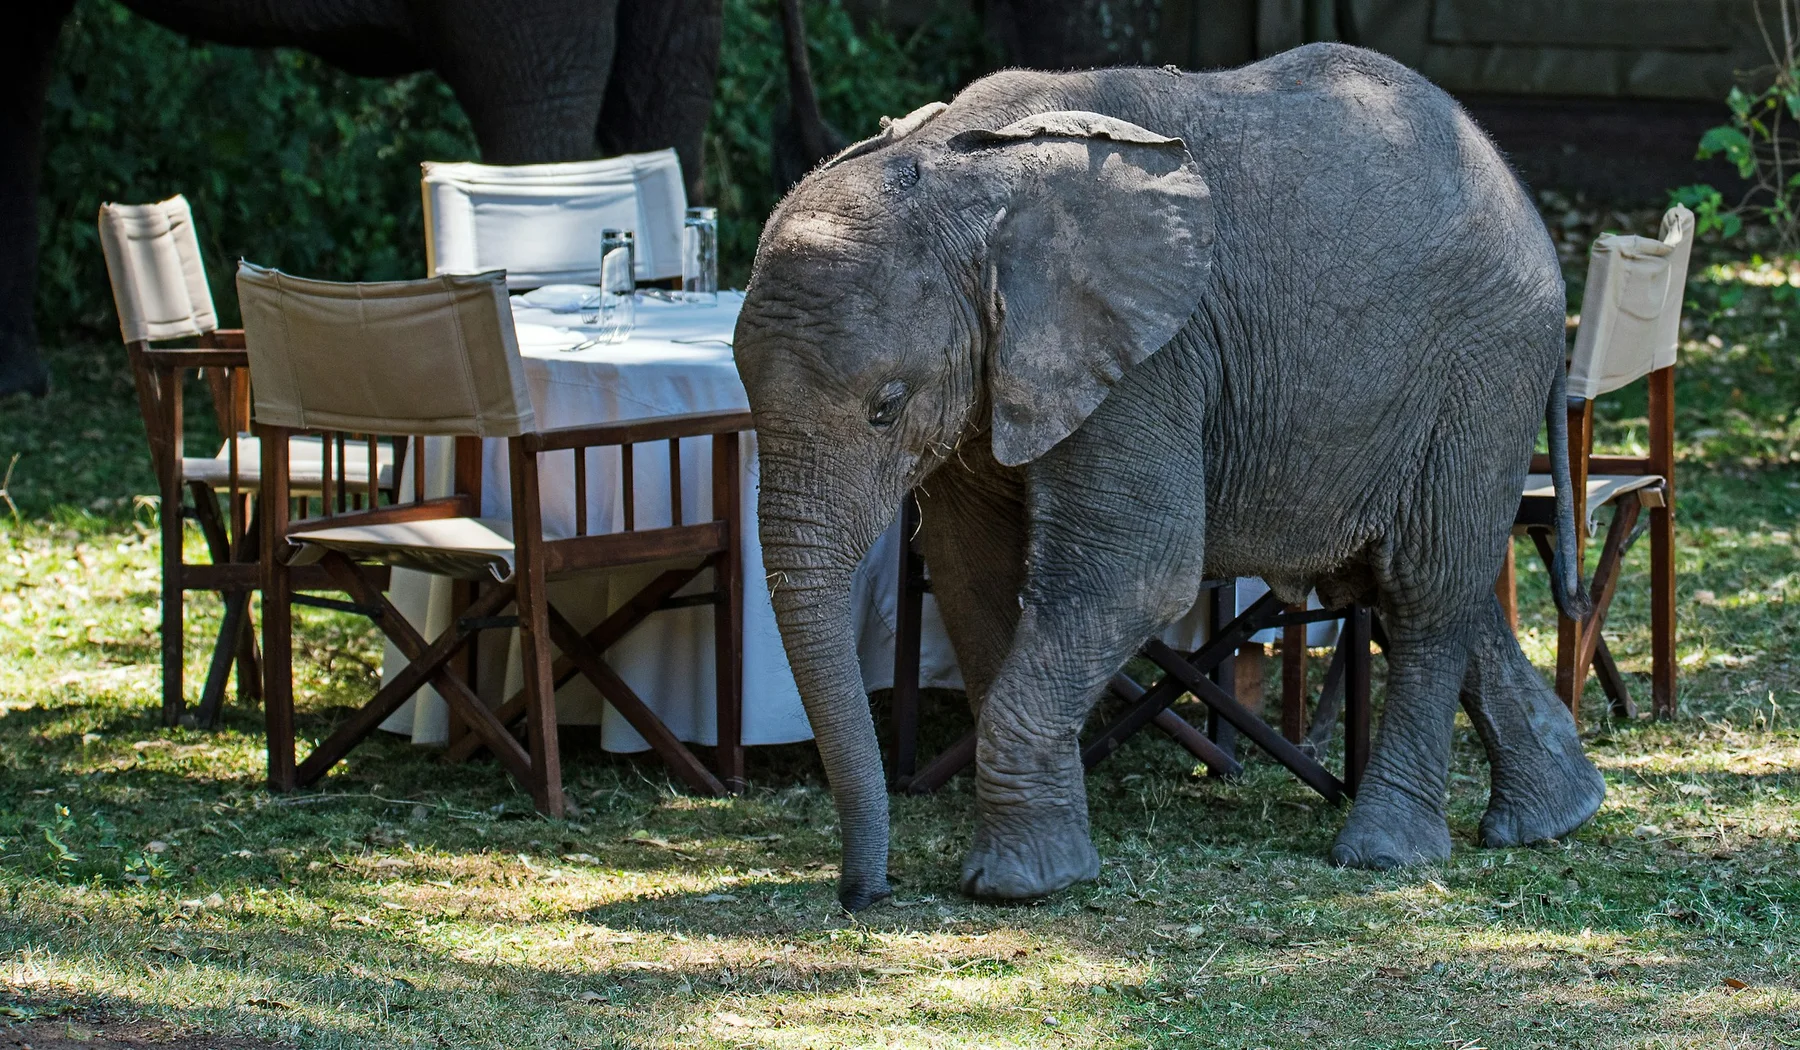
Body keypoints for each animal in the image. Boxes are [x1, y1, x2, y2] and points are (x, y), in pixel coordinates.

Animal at [733, 42, 1608, 910]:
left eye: (886, 406)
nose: (867, 895)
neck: (963, 169)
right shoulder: (997, 376)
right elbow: (971, 574)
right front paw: (1049, 862)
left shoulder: (1151, 359)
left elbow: (1133, 574)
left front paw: (1017, 885)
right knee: (1415, 583)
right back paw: (1555, 818)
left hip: (1483, 367)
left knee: (1425, 589)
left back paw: (1386, 854)